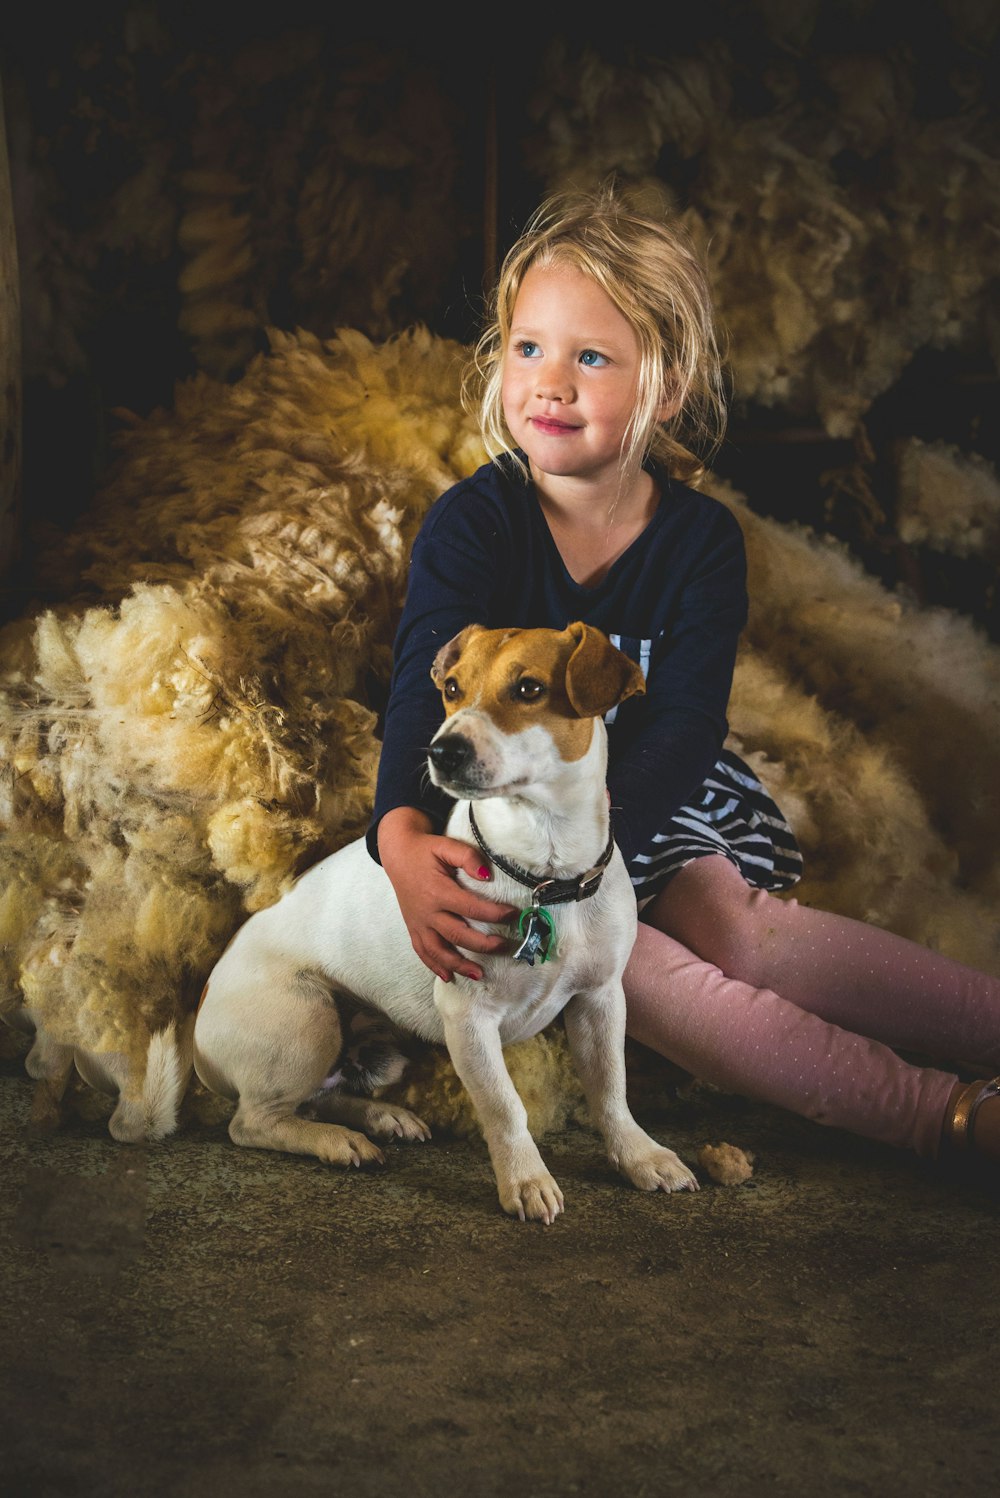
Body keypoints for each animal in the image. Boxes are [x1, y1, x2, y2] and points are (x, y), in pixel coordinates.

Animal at [193, 620, 694, 1216]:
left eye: (529, 688)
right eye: (452, 688)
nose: (442, 750)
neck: (544, 875)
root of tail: (197, 1035)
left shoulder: (601, 1000)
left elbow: (612, 1092)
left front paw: (640, 1156)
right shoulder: (468, 1016)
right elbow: (505, 1107)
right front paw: (526, 1180)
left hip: (370, 1051)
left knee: (320, 1096)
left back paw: (381, 1118)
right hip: (306, 1020)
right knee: (255, 1122)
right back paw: (338, 1142)